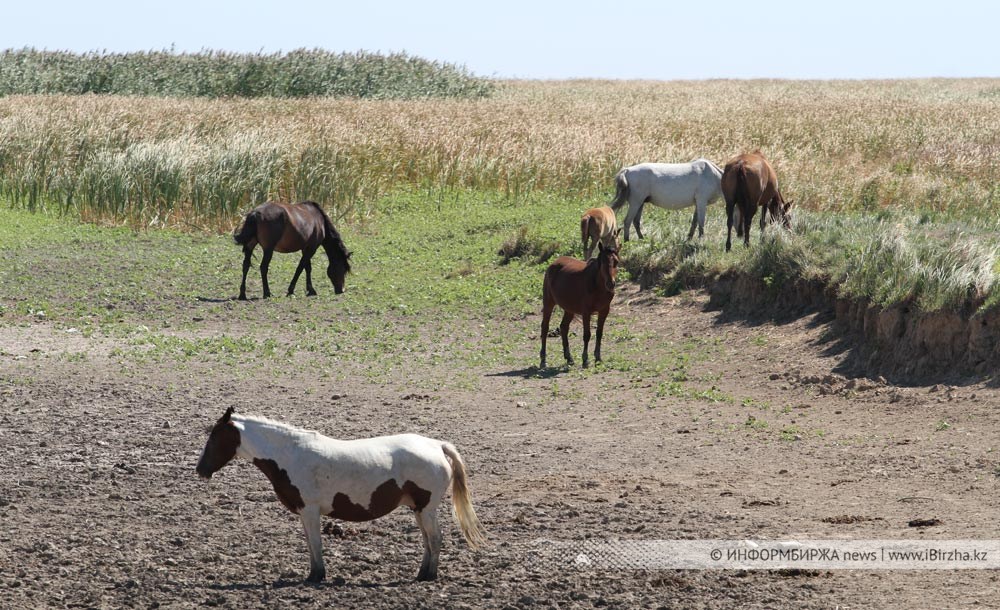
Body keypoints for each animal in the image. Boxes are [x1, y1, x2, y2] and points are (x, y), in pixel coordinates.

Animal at [194, 406, 484, 580]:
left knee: (435, 538)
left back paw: (429, 576)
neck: (291, 455)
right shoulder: (305, 512)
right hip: (418, 509)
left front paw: (317, 576)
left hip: (426, 509)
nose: (201, 469)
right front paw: (314, 574)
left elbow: (316, 543)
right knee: (427, 540)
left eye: (215, 437)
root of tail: (437, 445)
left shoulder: (310, 510)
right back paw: (422, 573)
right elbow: (310, 543)